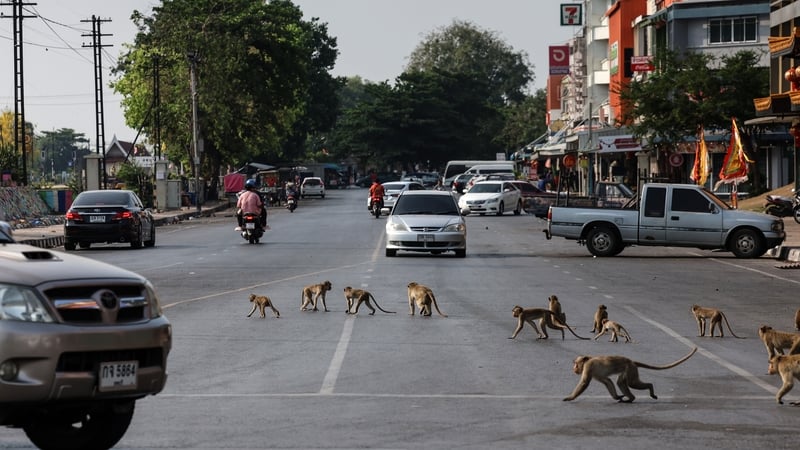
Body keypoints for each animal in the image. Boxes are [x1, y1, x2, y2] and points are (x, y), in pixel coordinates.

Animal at [563, 347, 697, 403]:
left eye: (576, 364)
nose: (574, 368)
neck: (587, 360)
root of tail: (632, 361)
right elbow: (607, 382)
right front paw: (617, 396)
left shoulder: (588, 367)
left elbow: (584, 382)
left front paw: (570, 397)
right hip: (628, 370)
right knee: (621, 382)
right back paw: (630, 399)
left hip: (630, 369)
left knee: (632, 383)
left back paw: (649, 388)